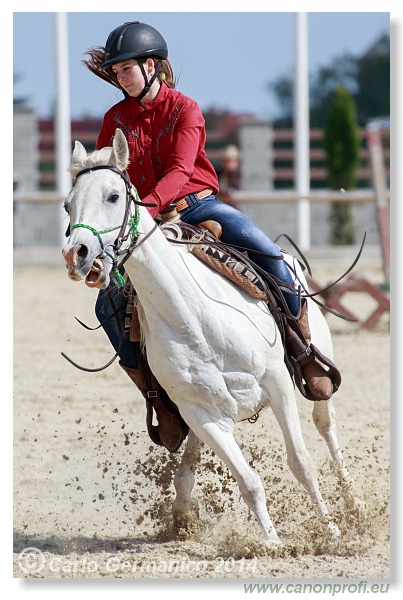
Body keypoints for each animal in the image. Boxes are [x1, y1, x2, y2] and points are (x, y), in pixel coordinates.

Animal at [62, 129, 360, 548]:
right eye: (67, 204)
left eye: (113, 196)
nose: (78, 255)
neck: (193, 317)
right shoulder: (201, 414)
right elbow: (248, 481)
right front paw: (272, 544)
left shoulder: (278, 383)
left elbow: (302, 463)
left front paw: (330, 531)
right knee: (191, 457)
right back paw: (184, 509)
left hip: (315, 371)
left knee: (325, 425)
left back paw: (355, 505)